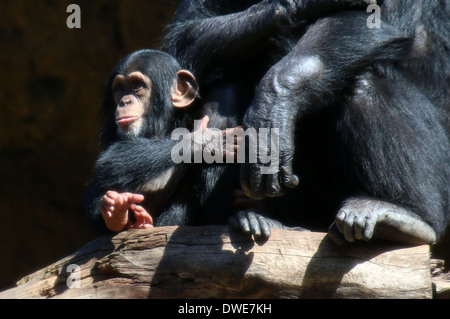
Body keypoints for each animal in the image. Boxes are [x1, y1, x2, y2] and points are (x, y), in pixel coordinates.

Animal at [163, 0, 448, 246]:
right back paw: (259, 219)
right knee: (225, 91)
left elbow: (371, 19)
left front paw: (274, 104)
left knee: (365, 79)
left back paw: (404, 216)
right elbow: (188, 33)